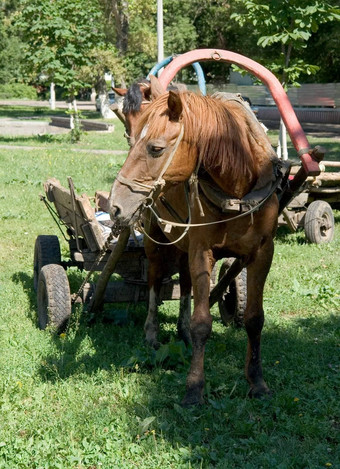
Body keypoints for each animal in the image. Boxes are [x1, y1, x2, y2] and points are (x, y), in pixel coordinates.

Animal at [109, 78, 282, 404]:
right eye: (132, 138)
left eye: (155, 148)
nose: (115, 205)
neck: (236, 191)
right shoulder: (203, 251)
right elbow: (202, 322)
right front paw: (194, 387)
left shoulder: (262, 252)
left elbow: (254, 319)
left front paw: (257, 382)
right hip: (156, 242)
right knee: (154, 281)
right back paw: (152, 333)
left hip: (184, 244)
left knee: (186, 283)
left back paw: (182, 331)